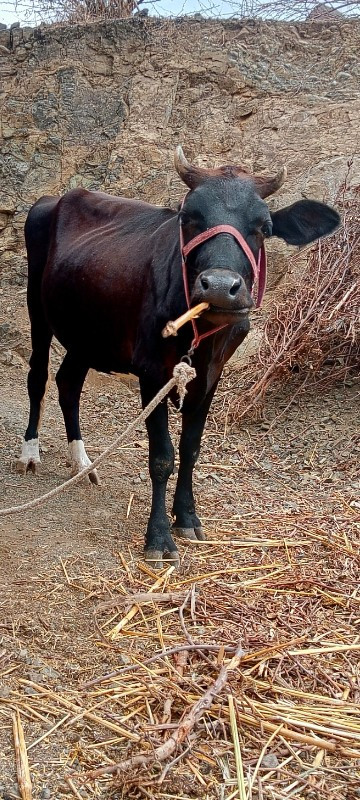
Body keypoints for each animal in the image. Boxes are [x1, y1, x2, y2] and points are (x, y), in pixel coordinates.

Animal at [16, 147, 340, 564]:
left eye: (264, 227)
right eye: (188, 218)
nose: (219, 286)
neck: (200, 336)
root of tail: (54, 199)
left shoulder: (210, 376)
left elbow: (190, 449)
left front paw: (186, 517)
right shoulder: (152, 370)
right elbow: (161, 457)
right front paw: (158, 537)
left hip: (89, 334)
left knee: (68, 382)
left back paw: (83, 463)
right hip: (37, 310)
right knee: (39, 377)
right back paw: (30, 453)